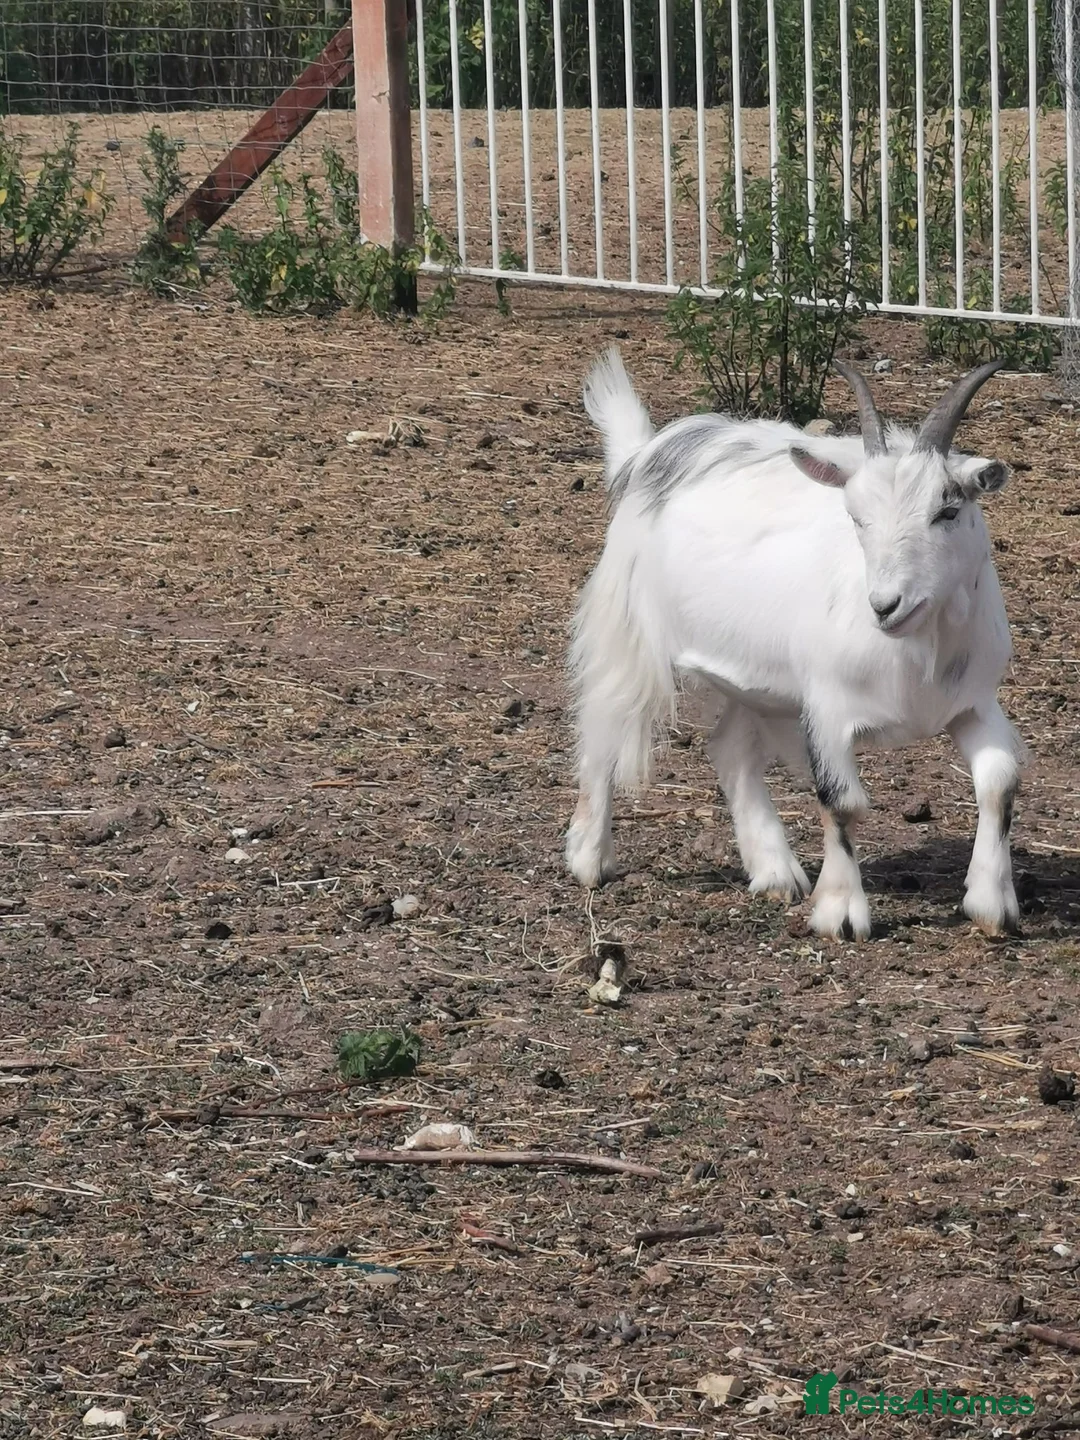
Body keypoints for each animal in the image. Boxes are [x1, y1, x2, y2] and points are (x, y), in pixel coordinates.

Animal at [565, 351, 1023, 940]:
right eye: (855, 517)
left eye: (947, 511)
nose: (886, 605)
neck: (916, 651)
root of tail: (647, 454)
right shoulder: (827, 708)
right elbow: (841, 802)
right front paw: (841, 913)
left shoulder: (974, 701)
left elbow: (999, 783)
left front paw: (992, 904)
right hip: (628, 634)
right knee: (603, 727)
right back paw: (590, 860)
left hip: (756, 680)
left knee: (730, 749)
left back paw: (775, 871)